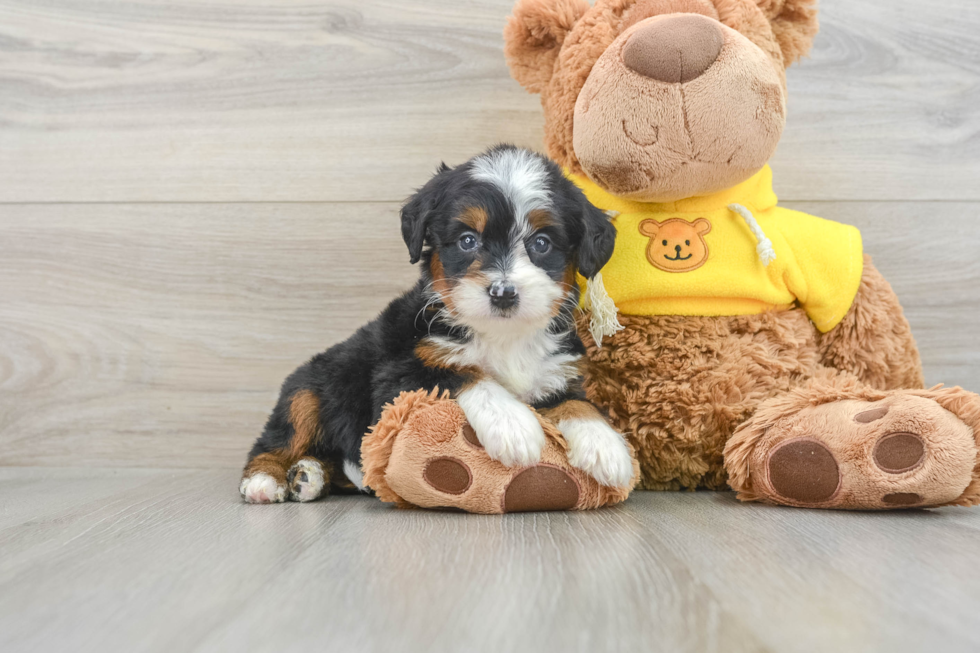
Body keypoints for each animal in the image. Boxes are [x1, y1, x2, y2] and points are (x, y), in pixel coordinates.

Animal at [241, 145, 632, 504]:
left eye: (542, 243)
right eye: (467, 240)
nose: (503, 293)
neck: (503, 337)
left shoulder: (556, 374)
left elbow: (578, 404)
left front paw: (605, 444)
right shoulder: (397, 374)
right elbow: (467, 372)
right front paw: (512, 424)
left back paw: (309, 475)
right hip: (310, 386)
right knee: (277, 437)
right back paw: (267, 479)